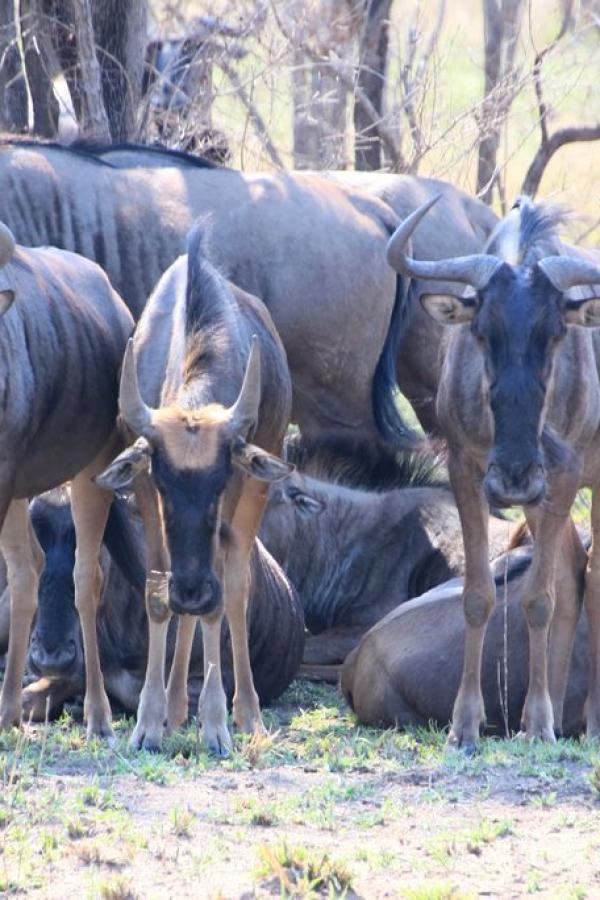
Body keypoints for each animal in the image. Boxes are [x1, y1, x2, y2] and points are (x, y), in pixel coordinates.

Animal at [98, 227, 292, 752]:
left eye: (219, 479)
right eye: (163, 481)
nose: (192, 588)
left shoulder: (236, 495)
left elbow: (220, 600)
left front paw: (215, 723)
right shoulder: (147, 501)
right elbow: (157, 596)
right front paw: (149, 721)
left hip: (254, 499)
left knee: (236, 588)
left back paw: (245, 713)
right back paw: (175, 707)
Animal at [386, 199, 600, 752]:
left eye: (555, 334)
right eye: (482, 332)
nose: (515, 478)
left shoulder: (563, 475)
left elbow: (539, 599)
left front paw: (540, 722)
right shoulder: (467, 469)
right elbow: (479, 594)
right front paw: (465, 725)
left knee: (590, 579)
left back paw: (584, 721)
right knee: (573, 575)